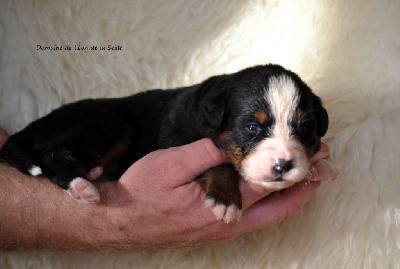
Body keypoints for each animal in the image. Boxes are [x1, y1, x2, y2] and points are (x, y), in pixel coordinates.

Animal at [0, 64, 338, 222]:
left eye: (305, 128)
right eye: (252, 126)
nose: (283, 164)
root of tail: (38, 124)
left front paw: (319, 167)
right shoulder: (181, 140)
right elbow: (219, 163)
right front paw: (226, 198)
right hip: (110, 123)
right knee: (52, 155)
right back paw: (81, 185)